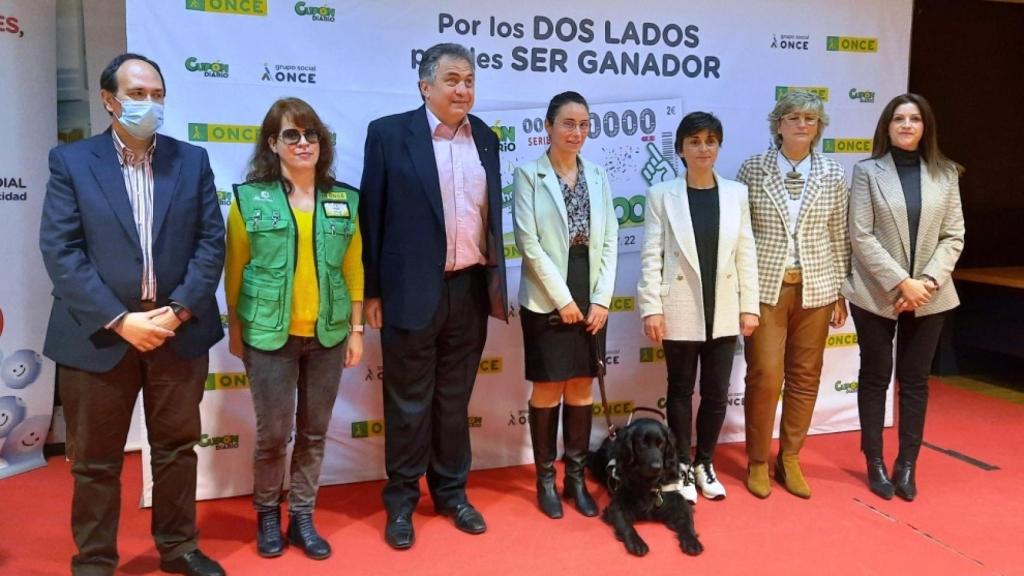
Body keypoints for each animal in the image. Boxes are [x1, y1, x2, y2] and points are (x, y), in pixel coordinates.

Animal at [593, 416, 704, 557]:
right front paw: (637, 543)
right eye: (643, 443)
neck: (649, 482)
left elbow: (687, 522)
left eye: (661, 443)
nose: (656, 467)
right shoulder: (616, 506)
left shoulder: (678, 502)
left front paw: (692, 541)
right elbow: (625, 525)